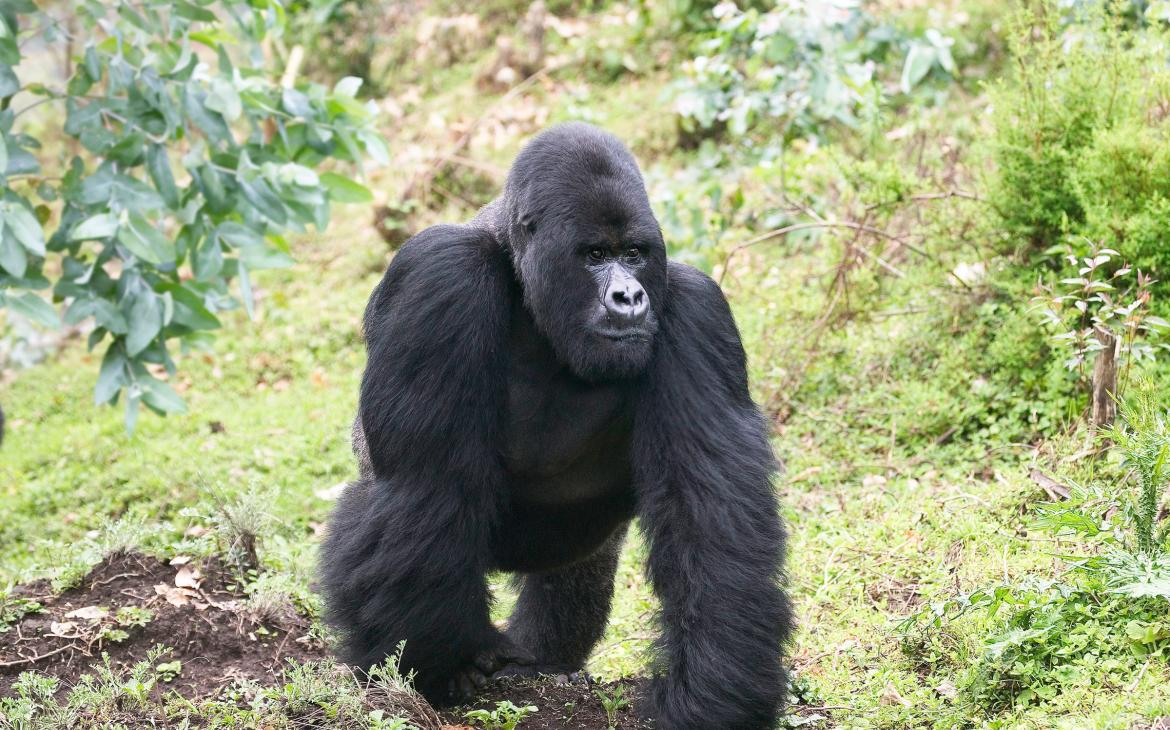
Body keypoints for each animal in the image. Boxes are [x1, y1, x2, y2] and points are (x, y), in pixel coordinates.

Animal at [322, 122, 795, 725]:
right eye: (594, 255)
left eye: (634, 254)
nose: (630, 297)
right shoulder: (441, 274)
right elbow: (425, 487)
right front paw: (437, 671)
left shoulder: (696, 307)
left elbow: (710, 516)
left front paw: (711, 697)